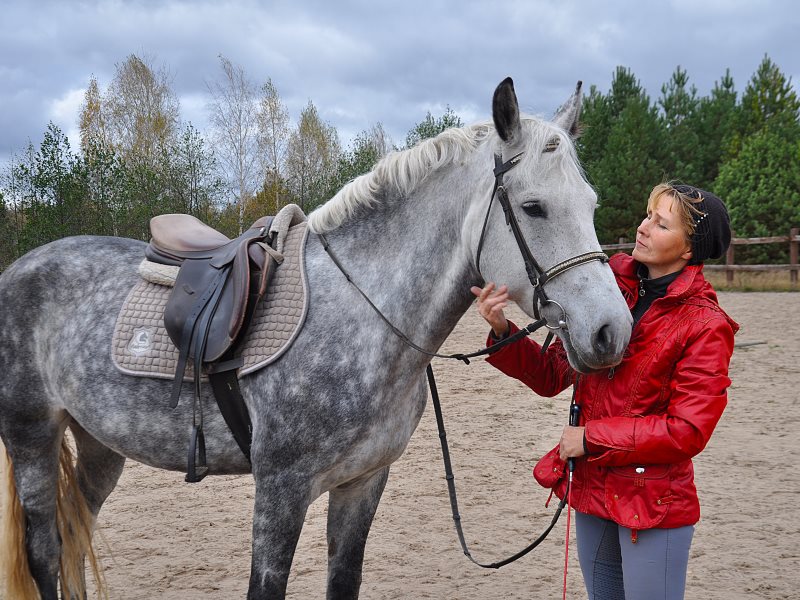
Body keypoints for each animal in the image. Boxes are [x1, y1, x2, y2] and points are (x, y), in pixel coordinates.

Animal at [1, 77, 632, 596]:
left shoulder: (361, 484)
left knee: (75, 536)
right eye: (534, 207)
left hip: (100, 443)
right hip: (32, 436)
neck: (360, 316)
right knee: (46, 553)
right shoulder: (281, 490)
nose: (612, 331)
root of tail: (18, 269)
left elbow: (343, 579)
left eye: (591, 204)